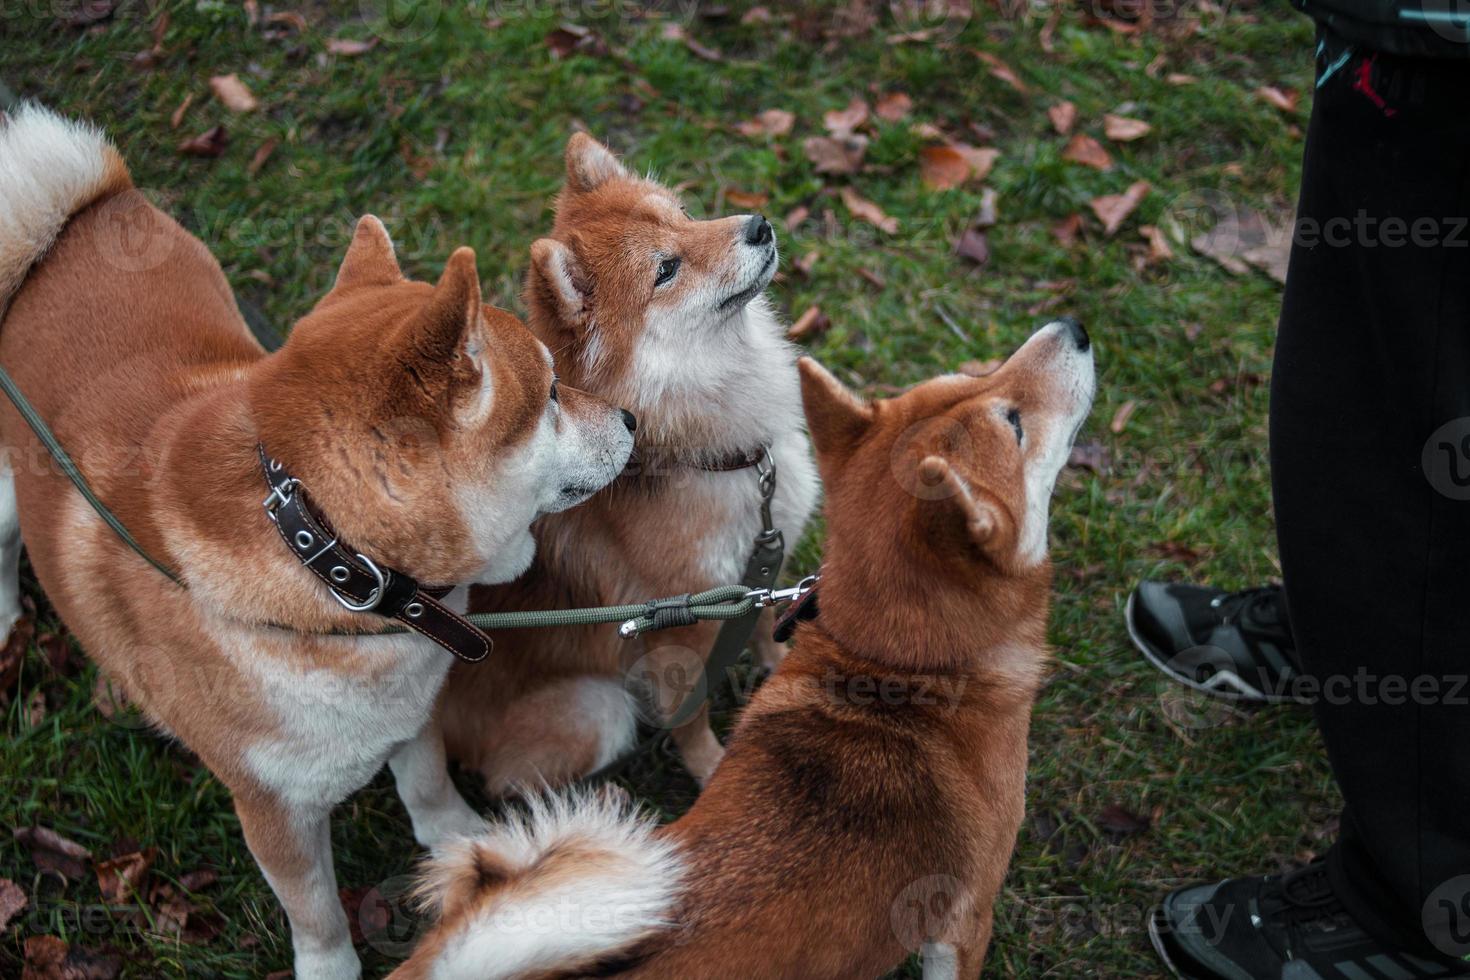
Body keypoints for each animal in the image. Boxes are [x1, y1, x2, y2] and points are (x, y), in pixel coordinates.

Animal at [0, 107, 635, 980]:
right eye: (549, 395)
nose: (633, 418)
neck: (332, 565)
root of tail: (73, 223)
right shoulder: (272, 809)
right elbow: (319, 913)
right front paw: (332, 966)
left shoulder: (412, 713)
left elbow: (429, 791)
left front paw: (471, 847)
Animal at [435, 134, 829, 787]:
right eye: (665, 270)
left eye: (686, 216)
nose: (759, 225)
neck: (711, 458)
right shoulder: (678, 631)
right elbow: (691, 720)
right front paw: (712, 773)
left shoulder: (753, 580)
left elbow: (764, 629)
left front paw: (786, 669)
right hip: (599, 712)